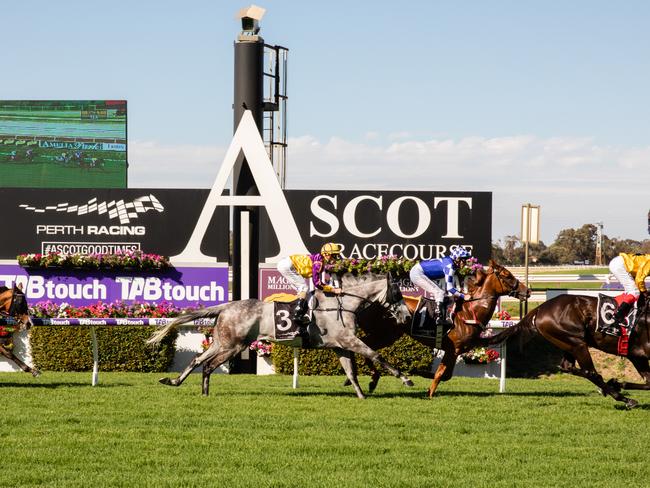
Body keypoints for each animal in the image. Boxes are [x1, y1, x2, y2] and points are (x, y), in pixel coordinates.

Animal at [147, 272, 412, 398]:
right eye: (397, 293)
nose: (407, 315)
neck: (343, 304)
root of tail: (226, 306)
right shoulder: (348, 340)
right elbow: (376, 355)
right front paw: (405, 379)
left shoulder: (340, 345)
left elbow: (352, 371)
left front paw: (361, 395)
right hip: (233, 346)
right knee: (208, 365)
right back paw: (204, 391)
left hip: (222, 342)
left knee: (197, 359)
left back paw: (175, 381)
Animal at [342, 262, 528, 394]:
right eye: (507, 275)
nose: (527, 291)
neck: (470, 311)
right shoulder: (453, 349)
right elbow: (441, 374)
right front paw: (429, 392)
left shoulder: (457, 350)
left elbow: (446, 375)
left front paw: (422, 376)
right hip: (382, 333)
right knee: (363, 347)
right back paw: (365, 378)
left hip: (388, 335)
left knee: (365, 348)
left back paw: (364, 379)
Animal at [480, 292, 648, 410]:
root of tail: (541, 308)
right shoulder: (639, 354)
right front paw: (617, 384)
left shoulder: (638, 357)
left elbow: (648, 382)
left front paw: (618, 383)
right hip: (576, 343)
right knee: (590, 372)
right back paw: (623, 397)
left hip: (567, 343)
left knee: (569, 367)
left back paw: (611, 387)